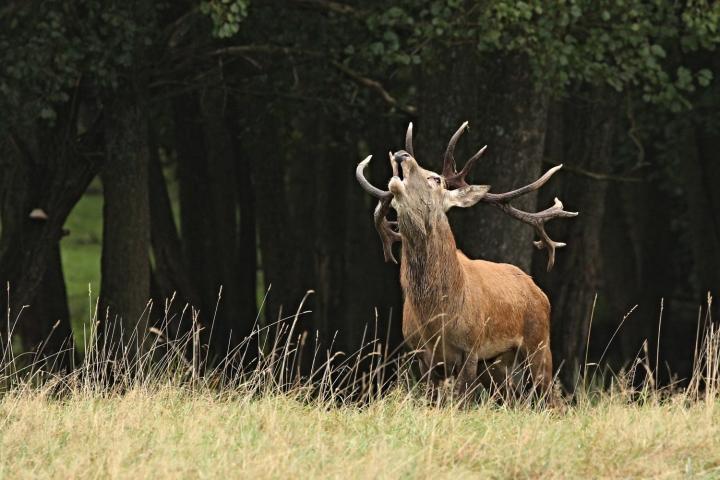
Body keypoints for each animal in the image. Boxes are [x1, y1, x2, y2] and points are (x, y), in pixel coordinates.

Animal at [356, 123, 580, 398]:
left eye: (436, 179)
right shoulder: (421, 354)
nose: (400, 154)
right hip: (495, 364)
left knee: (550, 397)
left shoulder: (472, 347)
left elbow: (462, 399)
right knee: (513, 396)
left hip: (538, 343)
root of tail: (539, 291)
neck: (438, 317)